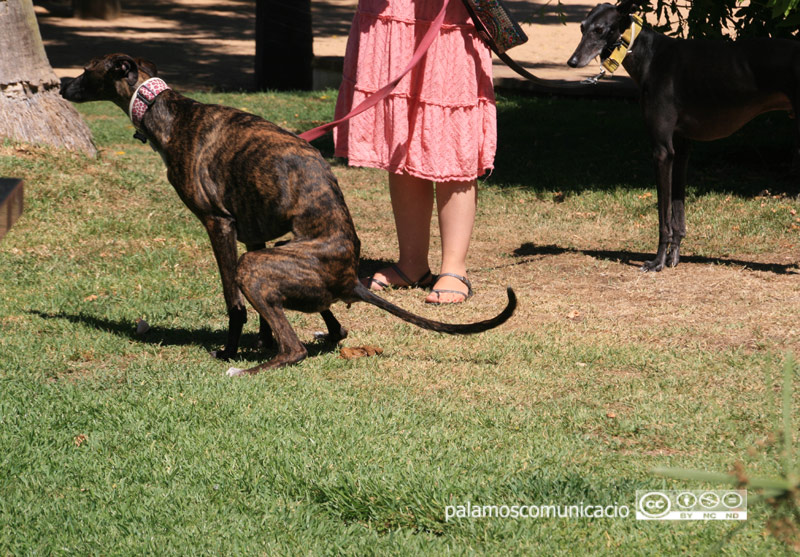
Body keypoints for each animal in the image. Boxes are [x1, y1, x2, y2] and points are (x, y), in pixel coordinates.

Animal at [59, 53, 516, 374]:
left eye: (85, 69)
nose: (61, 85)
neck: (168, 112)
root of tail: (350, 278)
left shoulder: (219, 226)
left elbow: (233, 303)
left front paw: (231, 349)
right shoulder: (254, 231)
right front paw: (259, 340)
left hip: (257, 265)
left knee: (295, 348)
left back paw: (248, 368)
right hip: (278, 254)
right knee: (332, 327)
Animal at [568, 0, 800, 270]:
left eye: (600, 30)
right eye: (582, 27)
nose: (572, 62)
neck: (649, 55)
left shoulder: (662, 151)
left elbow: (663, 216)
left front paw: (657, 261)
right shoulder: (681, 148)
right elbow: (677, 213)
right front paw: (673, 257)